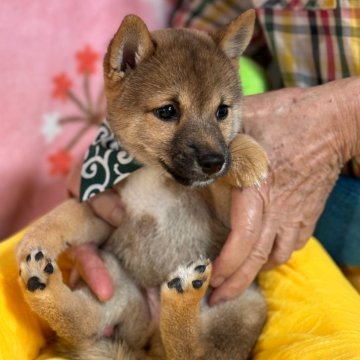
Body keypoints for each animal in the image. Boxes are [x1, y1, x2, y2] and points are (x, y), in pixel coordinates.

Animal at [18, 9, 268, 358]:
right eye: (168, 111)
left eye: (222, 111)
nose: (214, 161)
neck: (152, 173)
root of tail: (150, 341)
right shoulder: (107, 207)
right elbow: (65, 214)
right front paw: (33, 238)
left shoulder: (224, 218)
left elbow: (223, 181)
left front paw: (247, 155)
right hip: (113, 279)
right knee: (85, 326)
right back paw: (40, 284)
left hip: (242, 303)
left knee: (192, 351)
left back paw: (184, 293)